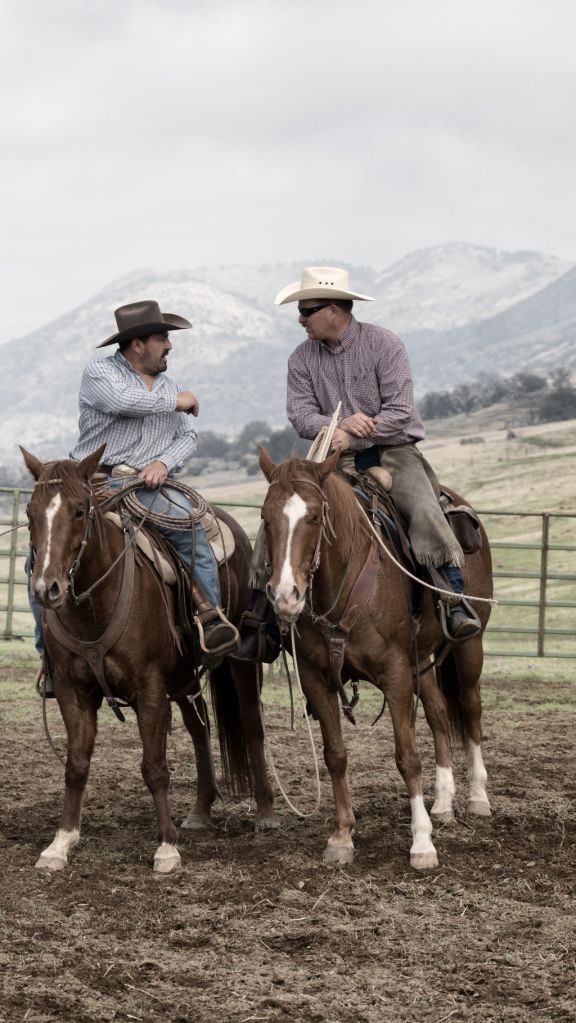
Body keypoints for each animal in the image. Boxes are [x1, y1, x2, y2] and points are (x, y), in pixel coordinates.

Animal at [23, 443, 280, 875]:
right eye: (29, 513)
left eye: (78, 510)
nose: (47, 588)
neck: (96, 603)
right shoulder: (72, 690)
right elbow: (76, 764)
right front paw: (60, 843)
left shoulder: (149, 686)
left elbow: (154, 766)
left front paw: (166, 848)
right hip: (183, 675)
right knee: (198, 725)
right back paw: (200, 810)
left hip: (240, 660)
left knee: (251, 725)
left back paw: (265, 812)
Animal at [258, 450, 493, 871]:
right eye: (266, 517)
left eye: (315, 516)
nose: (285, 596)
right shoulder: (317, 680)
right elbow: (335, 755)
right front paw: (341, 836)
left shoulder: (395, 675)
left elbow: (407, 757)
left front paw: (421, 844)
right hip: (422, 658)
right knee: (438, 713)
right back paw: (443, 802)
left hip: (470, 645)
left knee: (469, 707)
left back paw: (477, 797)